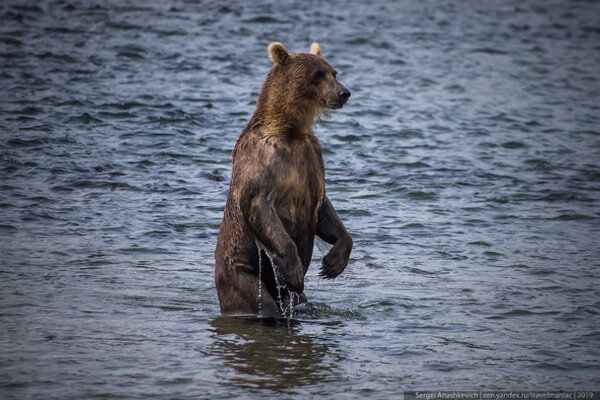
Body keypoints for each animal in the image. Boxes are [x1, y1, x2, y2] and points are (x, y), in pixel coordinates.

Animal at [214, 42, 352, 318]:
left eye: (334, 72)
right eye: (318, 74)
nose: (344, 93)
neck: (291, 129)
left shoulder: (312, 157)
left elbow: (324, 209)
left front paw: (333, 262)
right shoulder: (265, 156)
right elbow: (259, 203)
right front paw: (294, 268)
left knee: (296, 300)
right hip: (239, 269)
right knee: (257, 300)